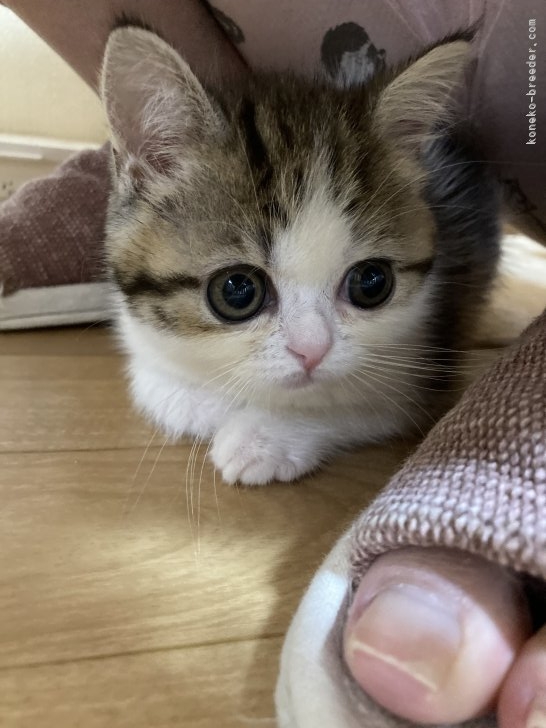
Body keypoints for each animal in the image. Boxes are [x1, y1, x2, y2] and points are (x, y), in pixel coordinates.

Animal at [100, 27, 500, 485]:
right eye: (237, 290)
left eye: (372, 283)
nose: (313, 352)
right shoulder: (144, 344)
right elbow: (164, 390)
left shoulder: (425, 361)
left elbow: (359, 401)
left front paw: (262, 437)